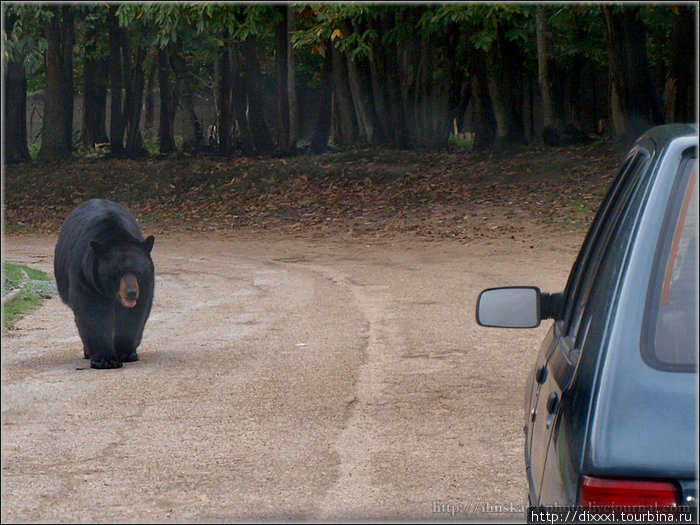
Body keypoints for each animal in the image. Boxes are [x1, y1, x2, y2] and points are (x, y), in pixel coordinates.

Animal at [54, 200, 155, 368]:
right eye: (117, 273)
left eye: (138, 271)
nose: (131, 292)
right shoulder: (86, 276)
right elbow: (92, 312)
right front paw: (105, 359)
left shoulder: (145, 283)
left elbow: (133, 314)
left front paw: (126, 352)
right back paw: (88, 351)